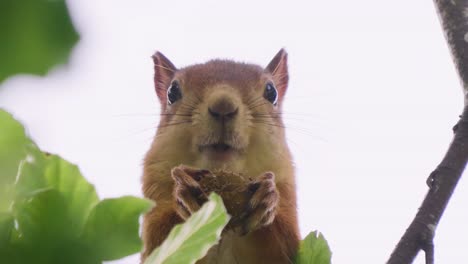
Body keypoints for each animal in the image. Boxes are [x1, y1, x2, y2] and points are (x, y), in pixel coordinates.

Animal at [141, 50, 300, 264]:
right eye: (172, 92)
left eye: (271, 92)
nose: (223, 105)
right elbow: (159, 240)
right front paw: (183, 192)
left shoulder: (286, 187)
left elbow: (280, 244)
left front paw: (267, 198)